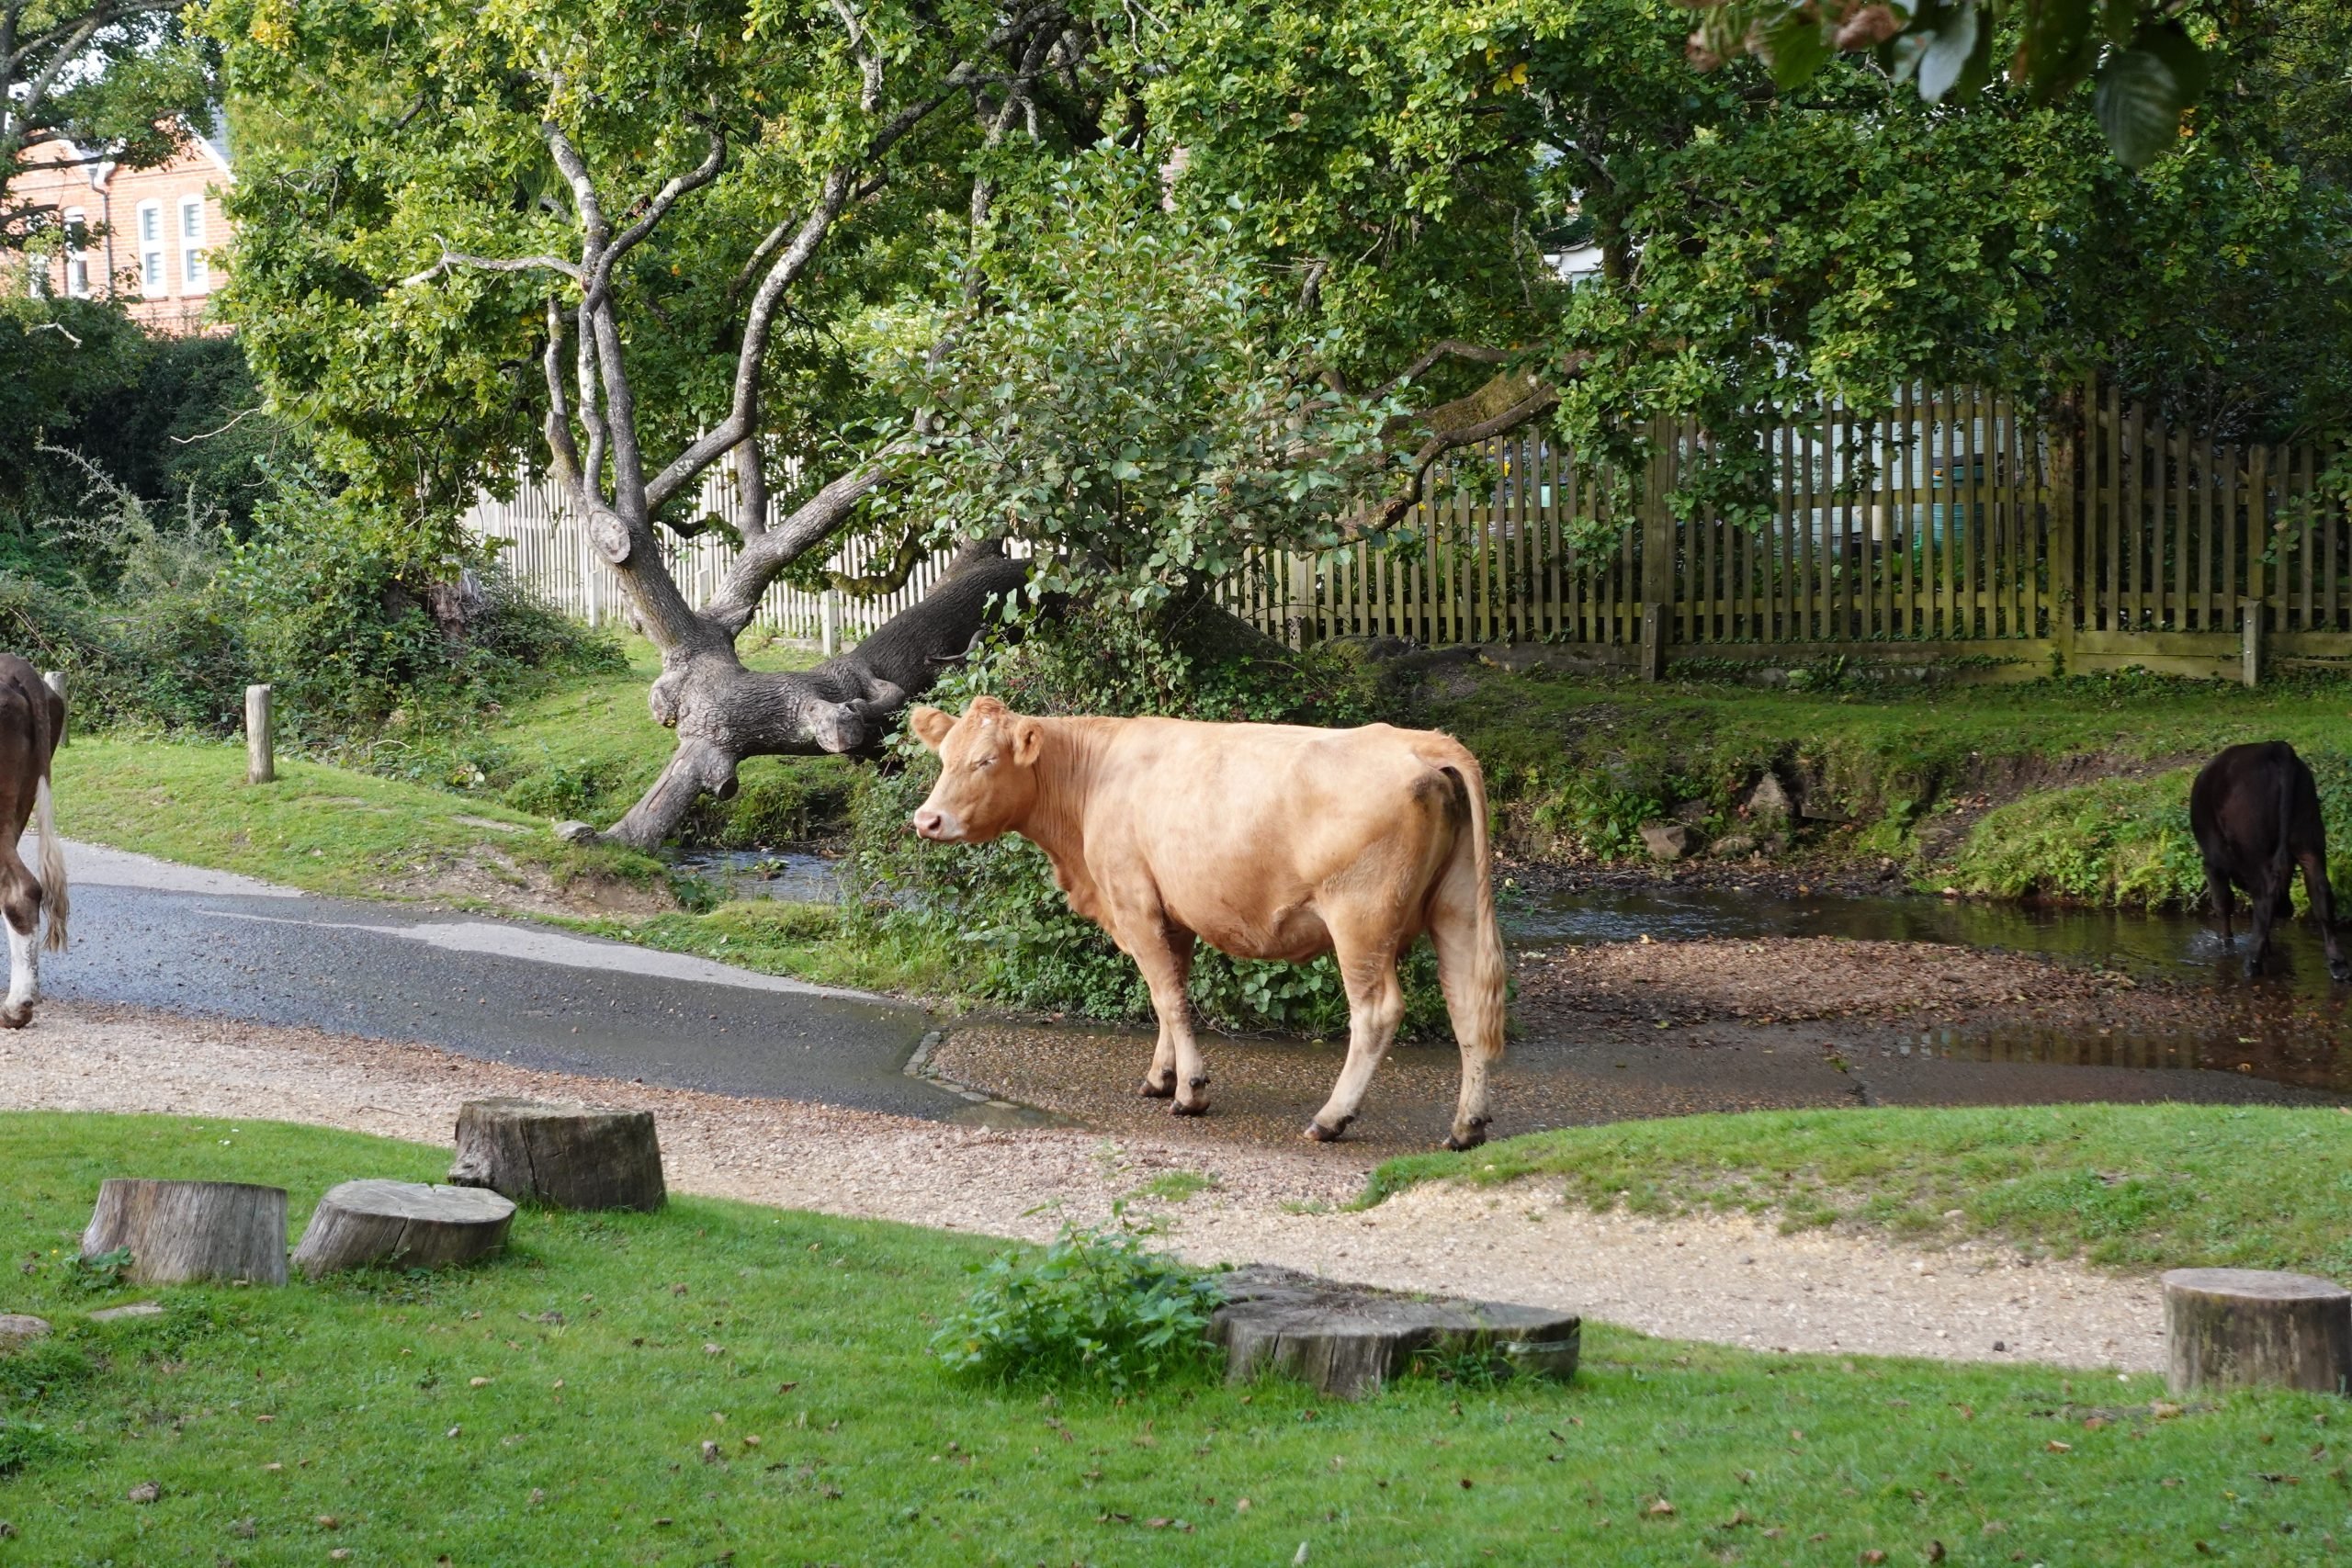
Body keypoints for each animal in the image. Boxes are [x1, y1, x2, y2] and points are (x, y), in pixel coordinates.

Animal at [907, 696, 1506, 1149]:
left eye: (986, 761)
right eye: (944, 758)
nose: (927, 820)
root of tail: (1420, 741)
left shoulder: (1134, 901)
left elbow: (1167, 997)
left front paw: (1190, 1091)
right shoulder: (1174, 914)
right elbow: (1168, 992)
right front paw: (1161, 1076)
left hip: (1361, 921)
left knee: (1377, 1013)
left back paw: (1331, 1118)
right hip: (1455, 908)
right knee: (1469, 1003)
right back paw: (1467, 1127)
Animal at [2189, 741, 2349, 983]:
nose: (2287, 909)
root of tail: (2275, 747)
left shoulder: (2213, 863)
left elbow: (2223, 903)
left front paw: (2227, 947)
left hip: (2255, 848)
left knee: (2265, 896)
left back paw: (2251, 964)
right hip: (2309, 837)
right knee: (2320, 891)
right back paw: (2338, 964)